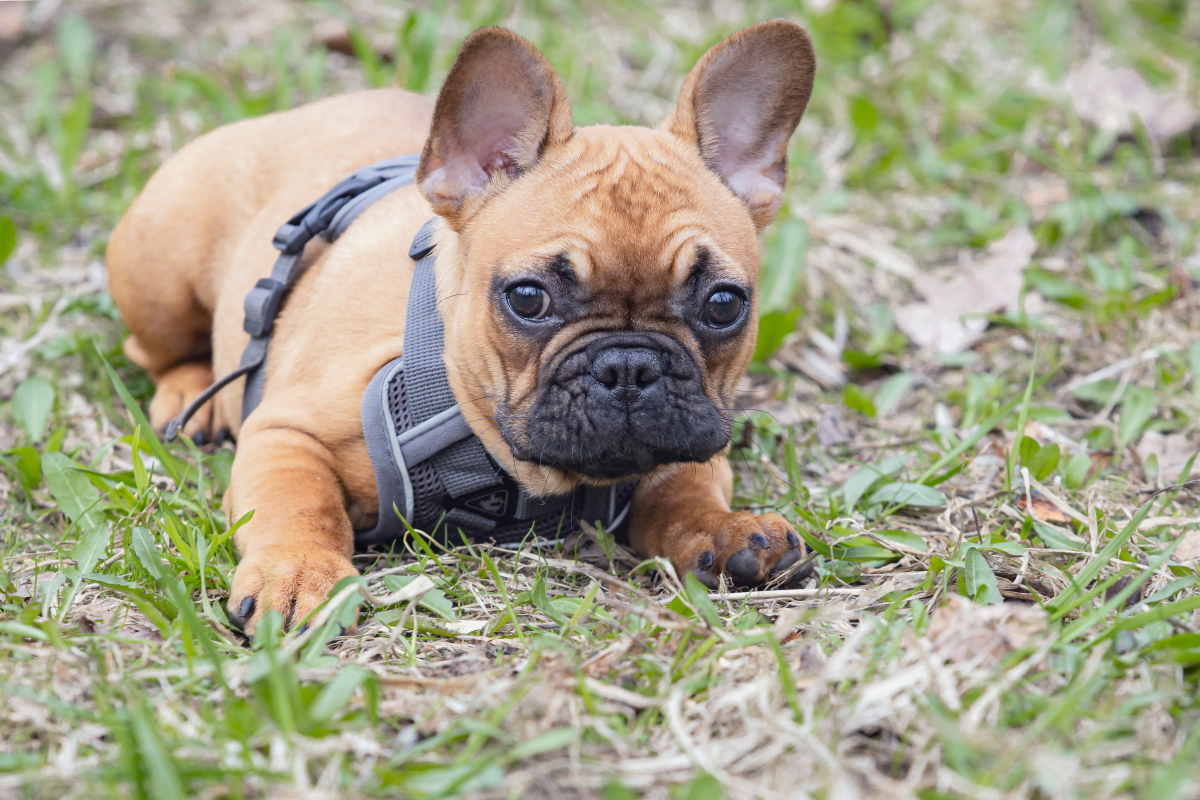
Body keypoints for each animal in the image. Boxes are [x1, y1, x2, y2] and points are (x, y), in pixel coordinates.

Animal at [108, 20, 816, 633]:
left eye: (724, 305)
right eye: (528, 299)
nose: (630, 366)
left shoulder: (690, 442)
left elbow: (684, 490)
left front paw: (727, 529)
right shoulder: (287, 433)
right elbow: (299, 505)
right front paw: (297, 572)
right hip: (160, 266)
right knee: (154, 348)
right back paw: (190, 396)